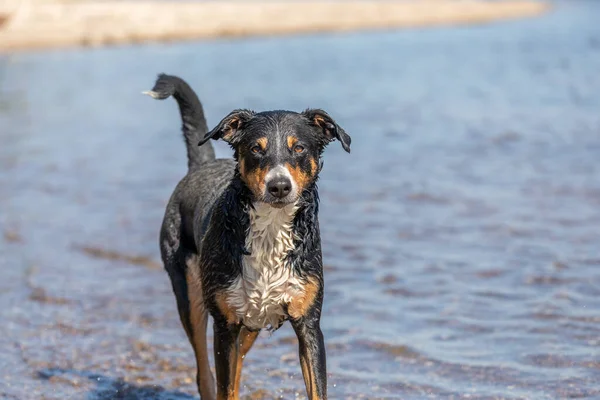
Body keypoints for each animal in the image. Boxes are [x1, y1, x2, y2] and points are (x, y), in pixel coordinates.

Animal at [145, 75, 350, 400]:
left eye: (299, 148)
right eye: (256, 148)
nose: (279, 186)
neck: (271, 229)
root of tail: (202, 164)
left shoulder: (309, 325)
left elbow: (316, 389)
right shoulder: (225, 324)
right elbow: (224, 386)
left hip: (252, 321)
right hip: (191, 296)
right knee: (205, 372)